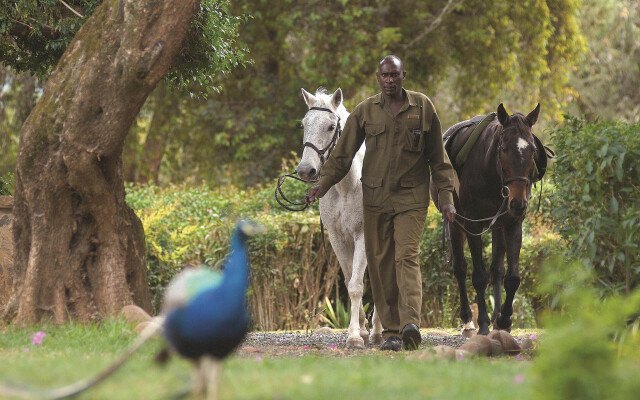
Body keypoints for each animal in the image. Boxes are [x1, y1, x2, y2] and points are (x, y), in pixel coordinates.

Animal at [298, 88, 382, 350]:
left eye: (330, 127)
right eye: (304, 124)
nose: (305, 170)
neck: (347, 186)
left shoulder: (362, 236)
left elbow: (355, 286)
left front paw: (354, 336)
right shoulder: (338, 239)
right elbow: (349, 281)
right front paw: (361, 330)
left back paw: (378, 331)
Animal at [430, 103, 544, 334]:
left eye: (532, 150)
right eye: (504, 149)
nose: (518, 203)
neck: (491, 173)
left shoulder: (512, 224)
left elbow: (512, 278)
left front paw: (504, 320)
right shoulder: (473, 226)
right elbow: (479, 277)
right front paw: (483, 323)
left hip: (498, 226)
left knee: (497, 270)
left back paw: (496, 315)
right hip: (456, 224)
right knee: (460, 268)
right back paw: (467, 320)